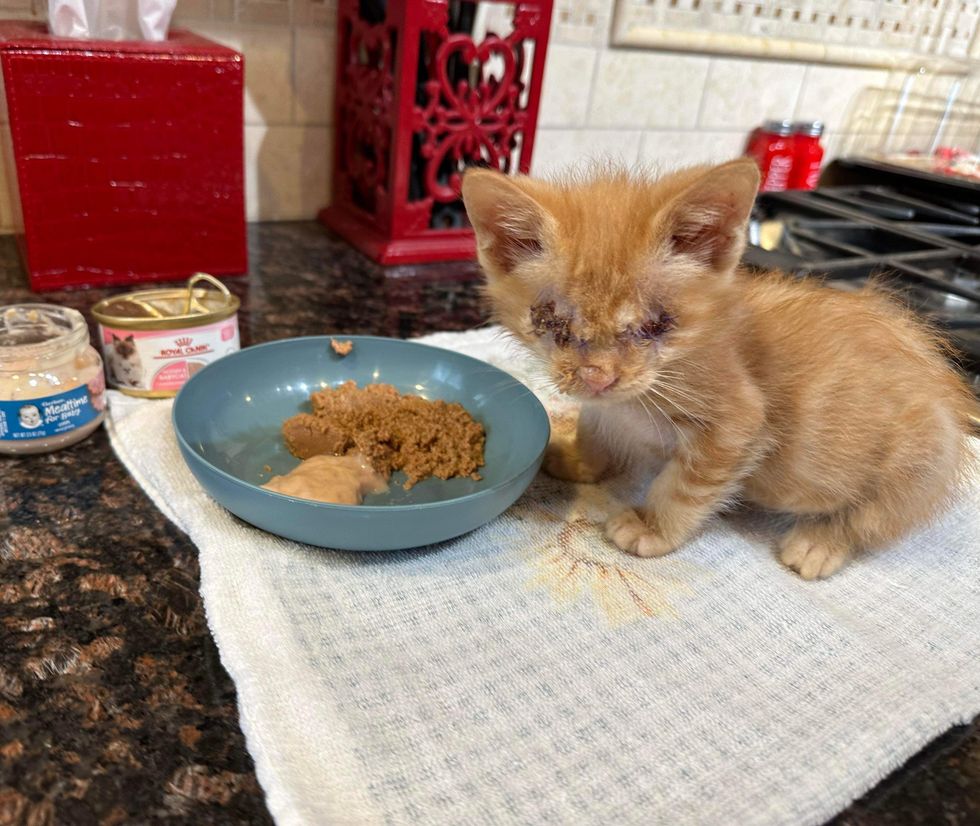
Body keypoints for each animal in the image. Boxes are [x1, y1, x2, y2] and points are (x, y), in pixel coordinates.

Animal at [462, 158, 972, 576]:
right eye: (551, 321)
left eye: (656, 325)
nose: (597, 376)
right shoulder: (610, 404)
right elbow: (596, 424)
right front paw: (578, 457)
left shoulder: (737, 421)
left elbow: (684, 486)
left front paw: (653, 527)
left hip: (914, 471)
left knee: (872, 519)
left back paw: (819, 544)